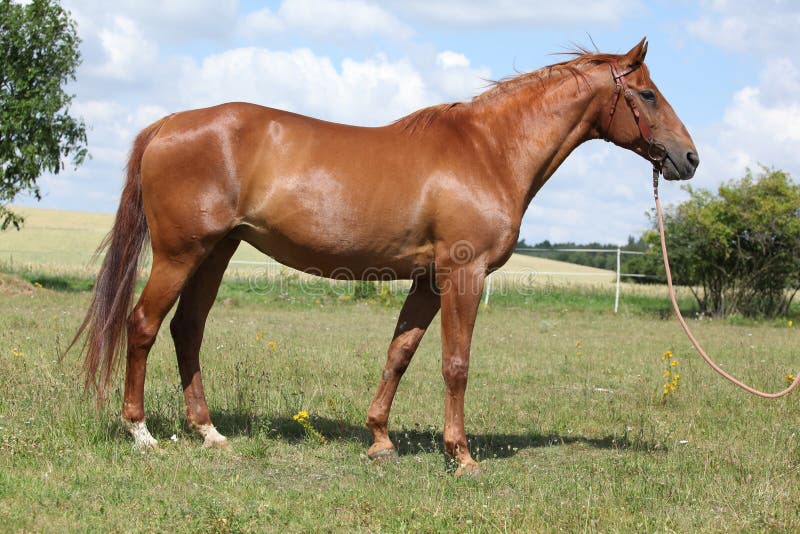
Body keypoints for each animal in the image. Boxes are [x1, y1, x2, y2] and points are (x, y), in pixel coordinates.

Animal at [70, 38, 698, 475]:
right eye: (646, 93)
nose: (688, 157)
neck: (489, 150)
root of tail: (167, 124)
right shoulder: (462, 274)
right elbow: (455, 363)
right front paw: (461, 456)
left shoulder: (428, 281)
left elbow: (400, 353)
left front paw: (379, 440)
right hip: (181, 253)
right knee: (144, 324)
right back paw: (142, 433)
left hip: (217, 252)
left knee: (187, 330)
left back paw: (208, 432)